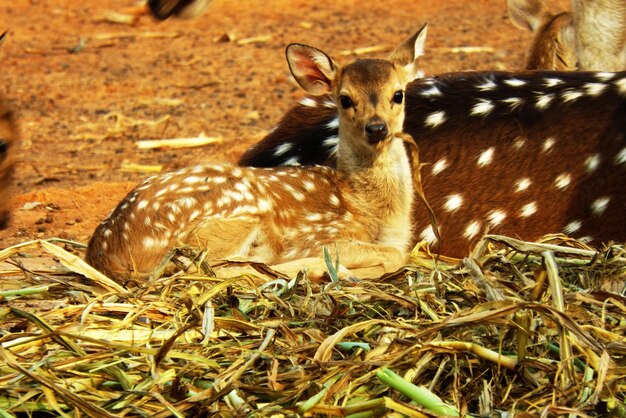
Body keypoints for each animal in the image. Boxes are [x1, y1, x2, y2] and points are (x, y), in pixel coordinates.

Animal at [86, 25, 428, 280]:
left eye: (398, 94)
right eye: (345, 99)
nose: (377, 128)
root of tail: (103, 253)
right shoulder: (319, 235)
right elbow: (392, 256)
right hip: (232, 217)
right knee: (208, 270)